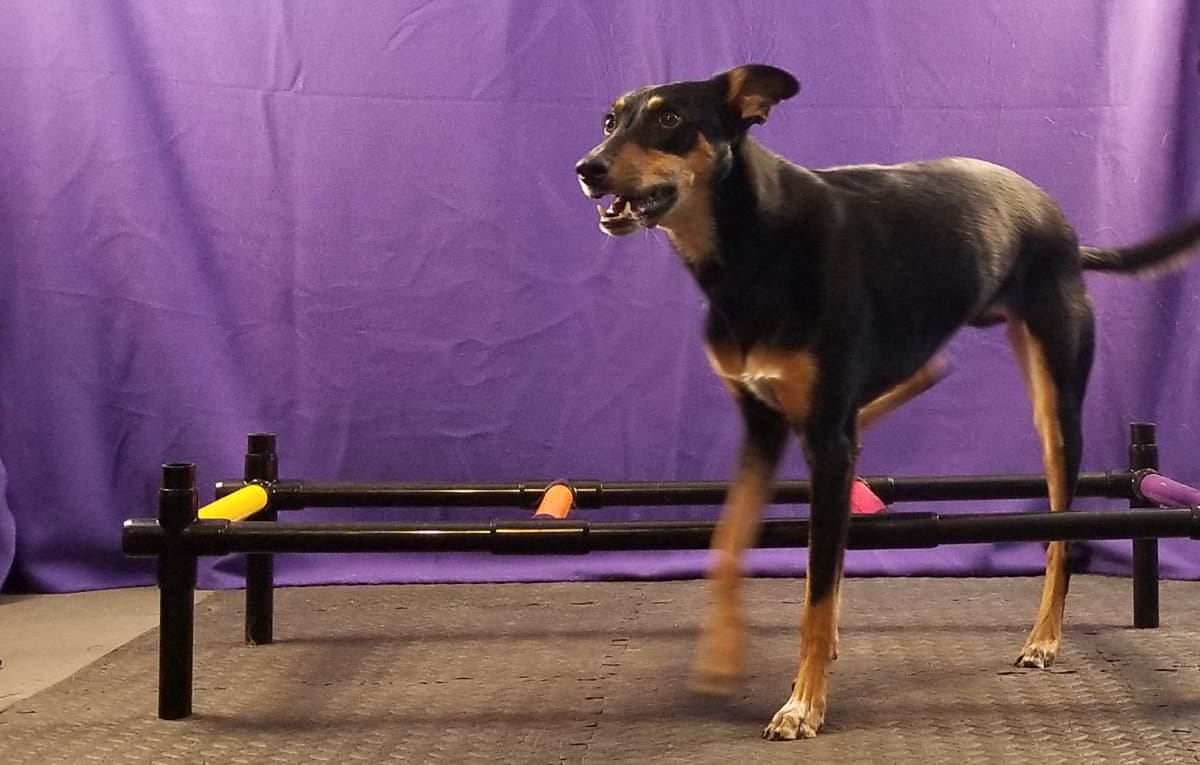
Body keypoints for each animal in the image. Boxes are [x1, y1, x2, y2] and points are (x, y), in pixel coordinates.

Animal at [571, 67, 1200, 743]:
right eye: (610, 121)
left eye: (669, 120)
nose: (588, 167)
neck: (754, 244)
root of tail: (1065, 229)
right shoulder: (762, 425)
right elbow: (730, 546)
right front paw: (722, 658)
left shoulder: (822, 434)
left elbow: (816, 596)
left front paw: (803, 704)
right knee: (925, 374)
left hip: (1056, 404)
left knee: (1060, 538)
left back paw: (1044, 639)